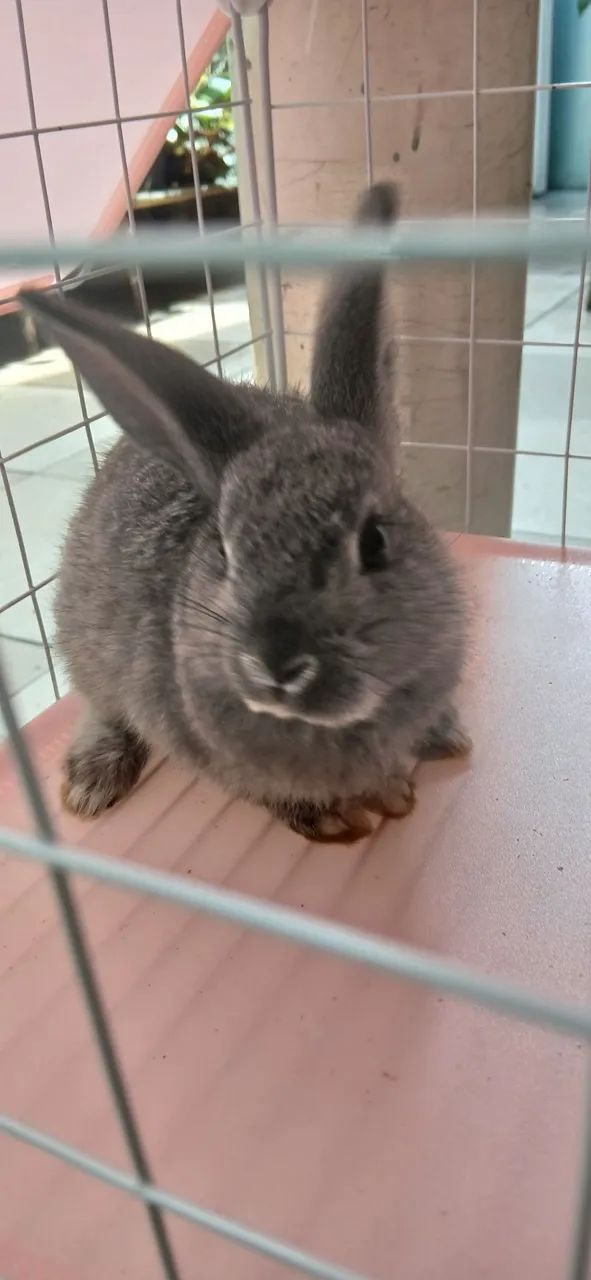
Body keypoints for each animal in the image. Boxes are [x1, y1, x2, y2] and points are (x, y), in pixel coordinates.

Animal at [20, 182, 470, 843]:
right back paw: (91, 781)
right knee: (100, 705)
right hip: (85, 645)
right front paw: (344, 813)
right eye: (225, 552)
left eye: (375, 542)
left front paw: (427, 751)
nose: (277, 666)